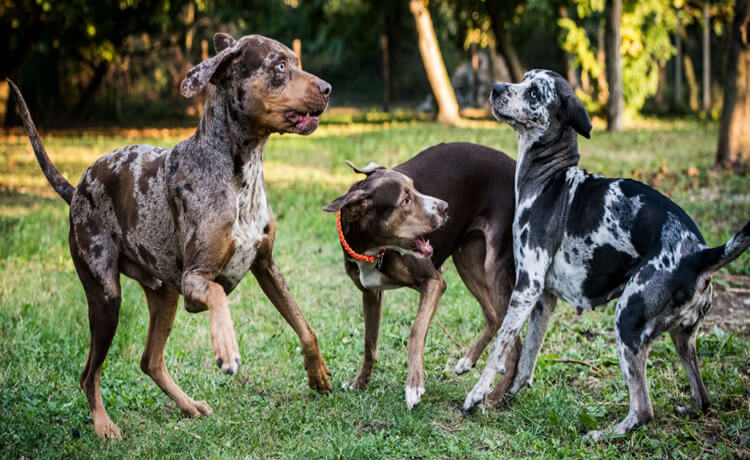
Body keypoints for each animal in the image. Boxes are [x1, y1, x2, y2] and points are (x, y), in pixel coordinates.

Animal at [8, 32, 332, 438]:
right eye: (280, 65)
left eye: (295, 60)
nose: (328, 88)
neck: (239, 174)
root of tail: (77, 189)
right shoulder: (195, 281)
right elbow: (219, 297)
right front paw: (225, 345)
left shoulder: (266, 266)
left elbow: (305, 326)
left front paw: (317, 373)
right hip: (106, 299)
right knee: (89, 373)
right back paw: (104, 425)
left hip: (164, 296)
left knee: (150, 360)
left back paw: (189, 405)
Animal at [324, 142, 524, 408]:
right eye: (406, 200)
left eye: (415, 188)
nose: (446, 207)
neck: (375, 251)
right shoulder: (371, 293)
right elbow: (370, 343)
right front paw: (359, 382)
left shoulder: (433, 283)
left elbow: (416, 333)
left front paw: (414, 385)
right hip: (467, 261)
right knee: (493, 316)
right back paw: (468, 362)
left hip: (494, 267)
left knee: (514, 341)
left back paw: (494, 397)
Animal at [464, 70, 750, 440]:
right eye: (523, 79)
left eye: (534, 92)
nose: (496, 88)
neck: (551, 179)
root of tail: (700, 254)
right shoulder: (542, 300)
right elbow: (526, 360)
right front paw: (506, 397)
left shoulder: (526, 288)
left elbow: (499, 348)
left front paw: (477, 394)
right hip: (682, 338)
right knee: (703, 399)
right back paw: (687, 409)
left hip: (626, 321)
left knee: (643, 410)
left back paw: (603, 434)